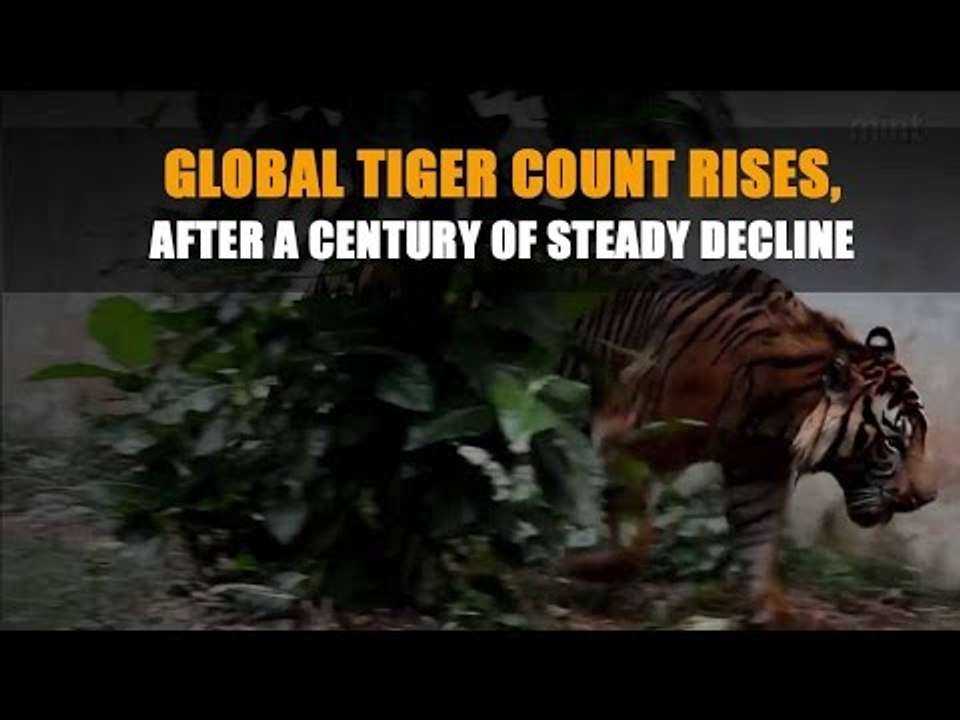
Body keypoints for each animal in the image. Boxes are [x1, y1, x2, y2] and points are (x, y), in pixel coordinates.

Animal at [558, 262, 936, 627]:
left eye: (920, 435)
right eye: (893, 441)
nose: (926, 497)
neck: (780, 415)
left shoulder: (759, 470)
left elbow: (759, 540)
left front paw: (774, 613)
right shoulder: (626, 439)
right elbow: (633, 545)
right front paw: (577, 567)